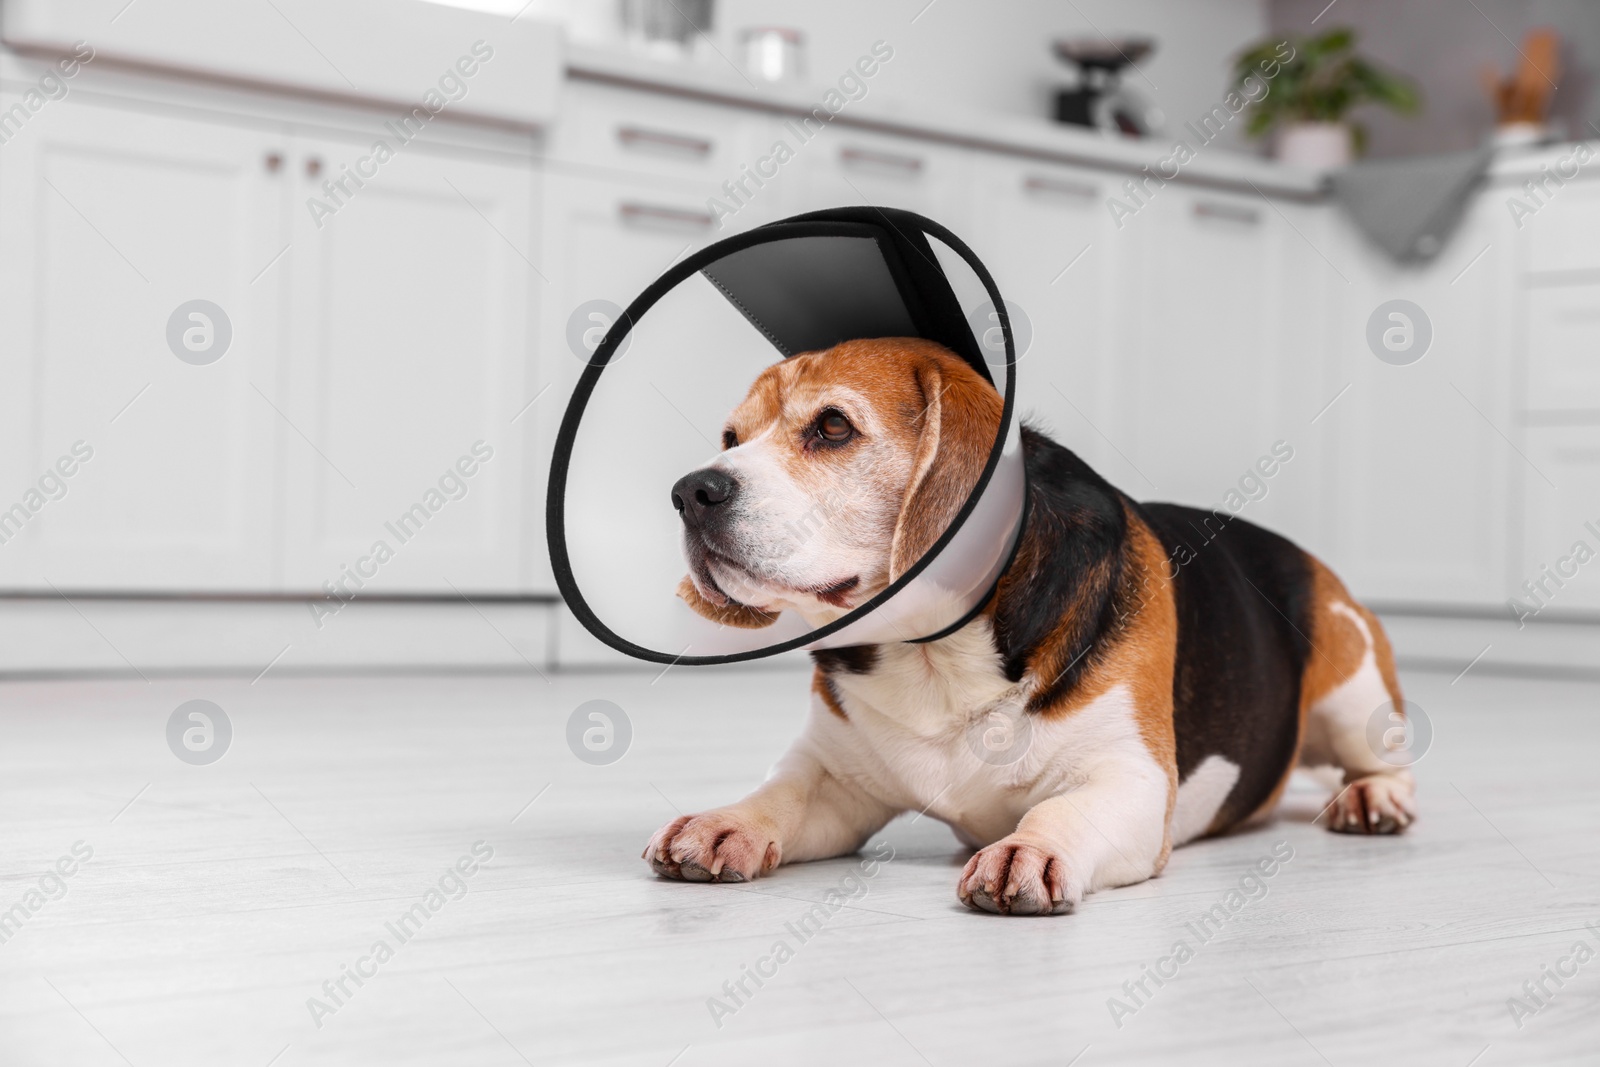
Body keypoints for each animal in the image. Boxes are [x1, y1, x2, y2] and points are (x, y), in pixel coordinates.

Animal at [643, 337, 1420, 915]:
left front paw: (1030, 850)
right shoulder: (834, 776)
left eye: (833, 426)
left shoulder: (1132, 779)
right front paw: (728, 822)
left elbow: (1061, 813)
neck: (936, 654)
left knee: (1383, 759)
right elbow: (782, 791)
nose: (689, 491)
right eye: (730, 437)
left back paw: (1374, 796)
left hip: (1353, 692)